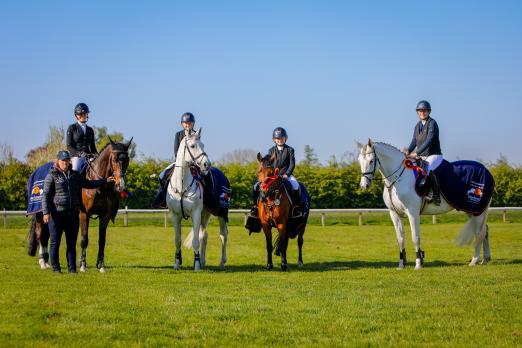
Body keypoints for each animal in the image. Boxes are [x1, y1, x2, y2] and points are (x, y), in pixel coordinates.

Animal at [165, 128, 225, 272]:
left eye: (203, 145)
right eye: (192, 146)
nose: (206, 164)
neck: (181, 185)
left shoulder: (196, 214)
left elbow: (195, 241)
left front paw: (196, 266)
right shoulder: (175, 216)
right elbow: (177, 240)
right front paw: (177, 263)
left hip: (220, 214)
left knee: (223, 235)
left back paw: (221, 262)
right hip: (205, 214)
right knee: (204, 235)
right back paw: (203, 261)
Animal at [356, 140, 490, 270]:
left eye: (371, 160)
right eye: (359, 161)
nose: (364, 185)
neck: (398, 178)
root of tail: (486, 170)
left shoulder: (412, 212)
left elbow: (415, 237)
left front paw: (418, 264)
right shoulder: (394, 213)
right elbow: (400, 239)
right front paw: (401, 264)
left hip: (477, 211)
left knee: (479, 233)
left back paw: (474, 261)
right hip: (471, 211)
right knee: (484, 230)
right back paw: (485, 259)